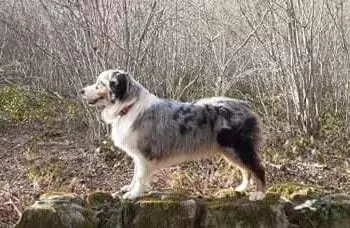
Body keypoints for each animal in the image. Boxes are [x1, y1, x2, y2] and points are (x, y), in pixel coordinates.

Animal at [80, 69, 266, 200]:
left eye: (99, 84)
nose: (81, 91)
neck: (128, 106)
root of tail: (246, 105)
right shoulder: (137, 156)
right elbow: (135, 174)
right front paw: (129, 188)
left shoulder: (144, 154)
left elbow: (139, 177)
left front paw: (133, 194)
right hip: (229, 151)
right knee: (246, 170)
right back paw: (242, 188)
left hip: (238, 148)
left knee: (257, 168)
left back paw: (259, 194)